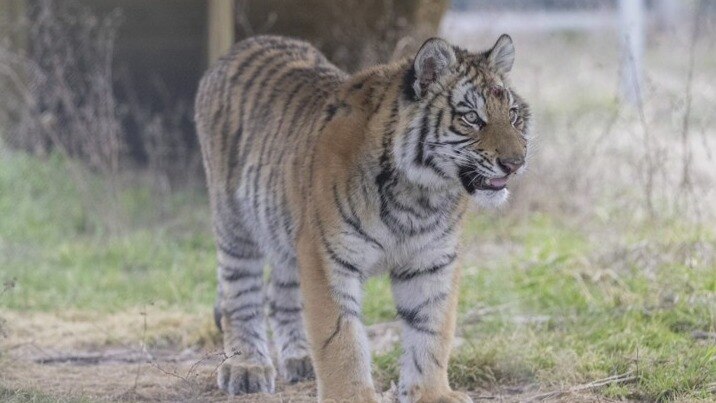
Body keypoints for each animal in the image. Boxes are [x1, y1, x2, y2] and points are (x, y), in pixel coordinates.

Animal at [194, 34, 530, 402]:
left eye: (513, 115)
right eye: (471, 117)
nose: (516, 163)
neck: (420, 195)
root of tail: (242, 47)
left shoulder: (432, 261)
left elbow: (432, 330)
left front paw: (432, 394)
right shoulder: (326, 256)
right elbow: (339, 338)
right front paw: (350, 396)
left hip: (284, 230)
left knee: (279, 294)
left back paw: (299, 359)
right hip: (235, 224)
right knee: (240, 293)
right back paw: (247, 367)